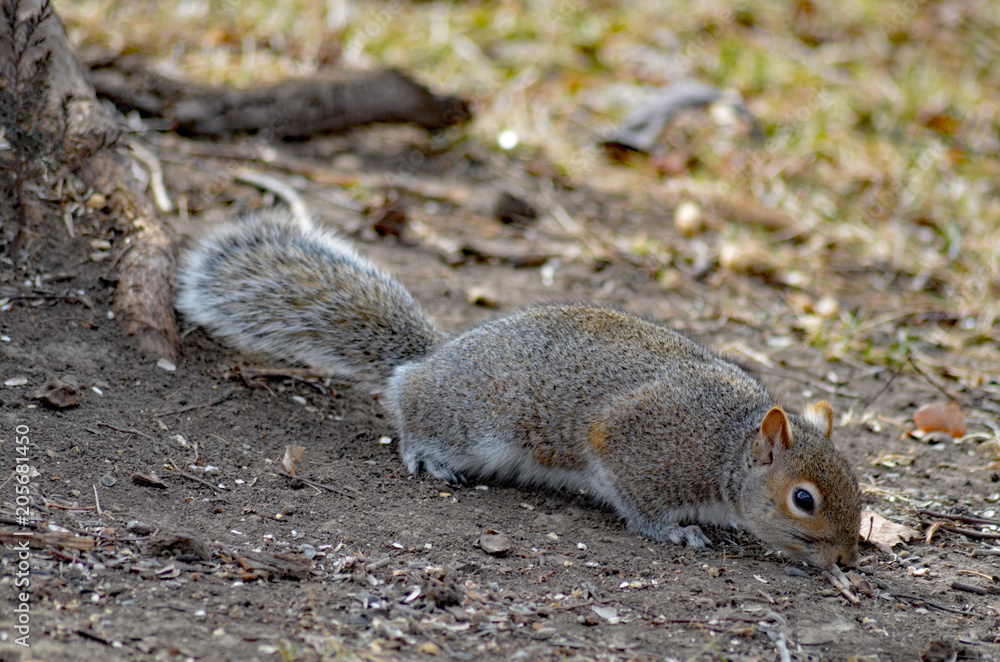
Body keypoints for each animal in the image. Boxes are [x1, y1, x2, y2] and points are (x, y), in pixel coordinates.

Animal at [178, 213, 860, 572]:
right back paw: (426, 453)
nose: (849, 559)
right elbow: (639, 501)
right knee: (409, 405)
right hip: (470, 420)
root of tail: (433, 356)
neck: (726, 446)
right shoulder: (639, 444)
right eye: (804, 499)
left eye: (857, 488)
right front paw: (677, 533)